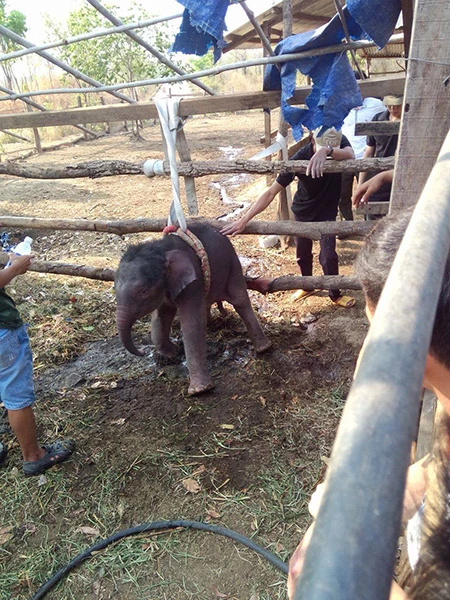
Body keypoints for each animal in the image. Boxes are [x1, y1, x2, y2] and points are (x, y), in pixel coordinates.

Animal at [115, 224, 271, 395]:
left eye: (144, 291)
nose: (142, 352)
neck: (161, 249)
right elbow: (161, 316)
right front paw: (173, 353)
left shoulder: (193, 282)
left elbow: (192, 322)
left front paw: (199, 390)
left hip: (232, 266)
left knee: (240, 301)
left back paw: (263, 348)